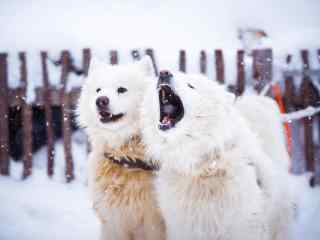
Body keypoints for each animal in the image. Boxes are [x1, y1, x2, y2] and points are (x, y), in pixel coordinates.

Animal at [77, 56, 165, 240]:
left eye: (122, 89)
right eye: (98, 90)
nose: (101, 100)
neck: (127, 158)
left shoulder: (155, 223)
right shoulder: (113, 222)